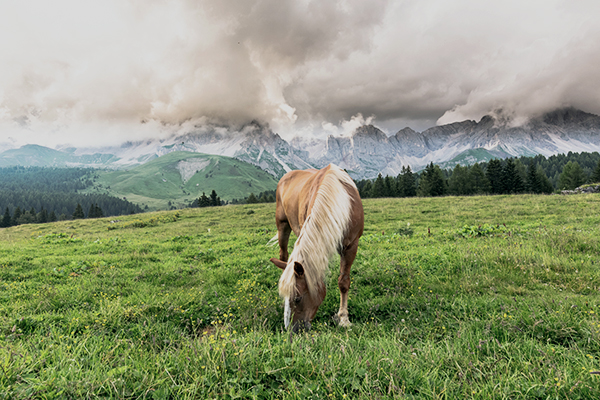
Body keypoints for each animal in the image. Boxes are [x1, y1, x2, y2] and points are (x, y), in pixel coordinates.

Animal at [268, 162, 364, 332]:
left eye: (298, 298)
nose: (292, 329)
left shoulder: (351, 246)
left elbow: (343, 282)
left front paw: (343, 318)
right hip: (282, 226)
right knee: (283, 254)